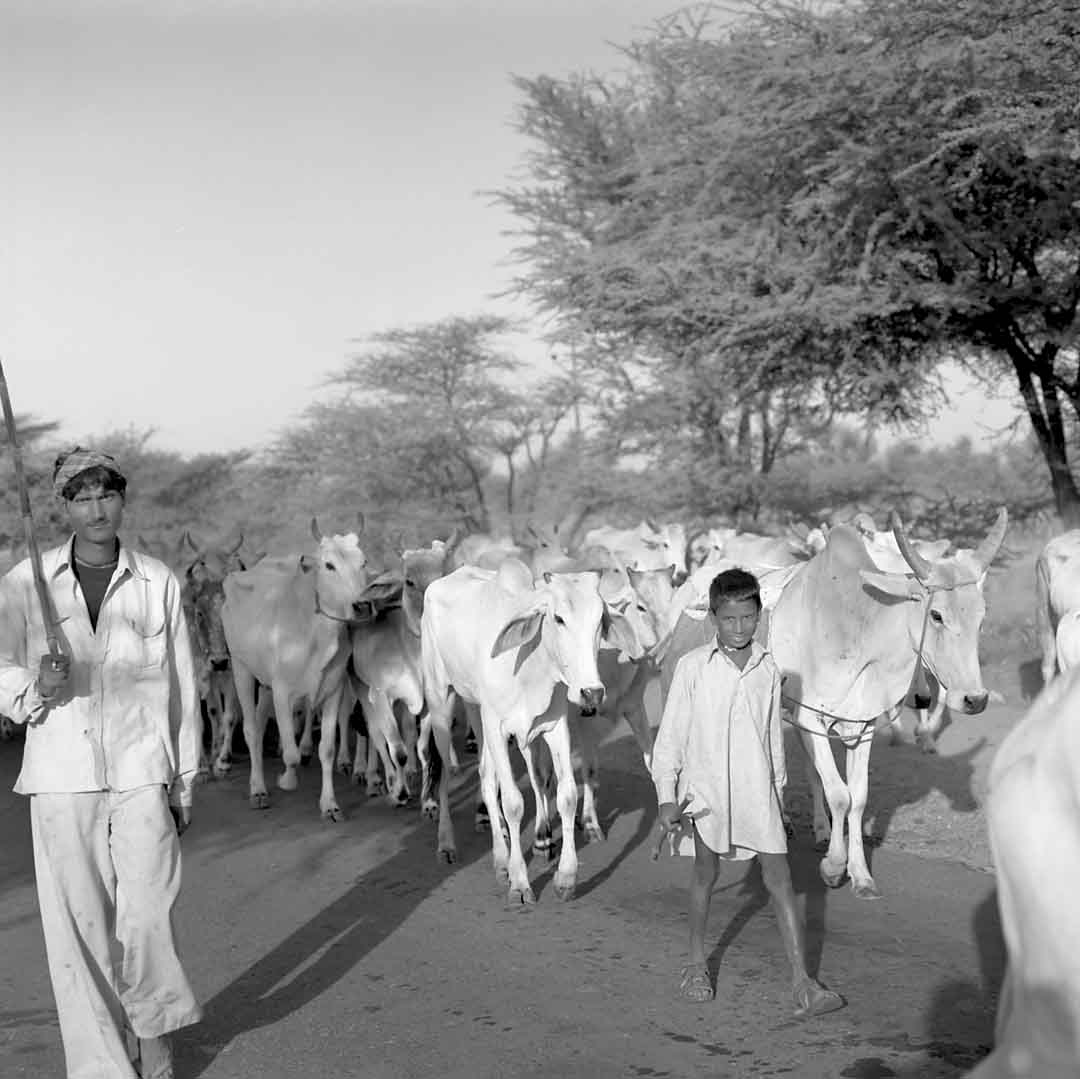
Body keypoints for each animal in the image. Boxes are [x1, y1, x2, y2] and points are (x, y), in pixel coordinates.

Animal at [419, 557, 639, 902]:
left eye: (600, 620)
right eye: (558, 618)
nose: (591, 693)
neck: (532, 669)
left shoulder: (554, 727)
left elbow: (565, 794)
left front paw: (565, 877)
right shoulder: (499, 730)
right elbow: (512, 803)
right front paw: (520, 882)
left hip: (477, 713)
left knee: (486, 778)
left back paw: (500, 856)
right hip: (441, 699)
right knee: (446, 775)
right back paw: (447, 844)